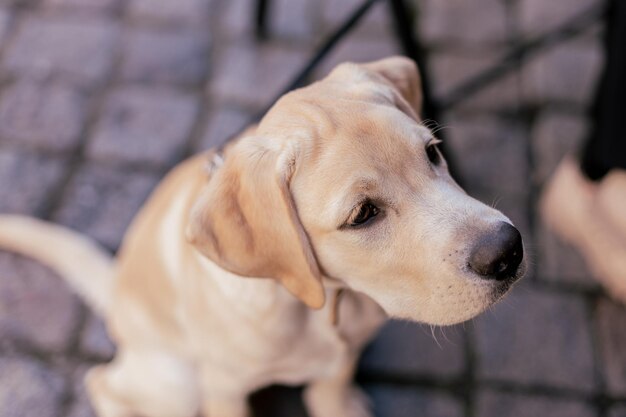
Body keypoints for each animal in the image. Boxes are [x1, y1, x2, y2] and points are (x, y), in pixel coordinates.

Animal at [0, 56, 524, 416]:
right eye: (363, 215)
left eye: (433, 153)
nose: (509, 251)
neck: (319, 306)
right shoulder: (223, 387)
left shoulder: (342, 353)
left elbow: (332, 388)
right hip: (179, 380)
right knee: (102, 383)